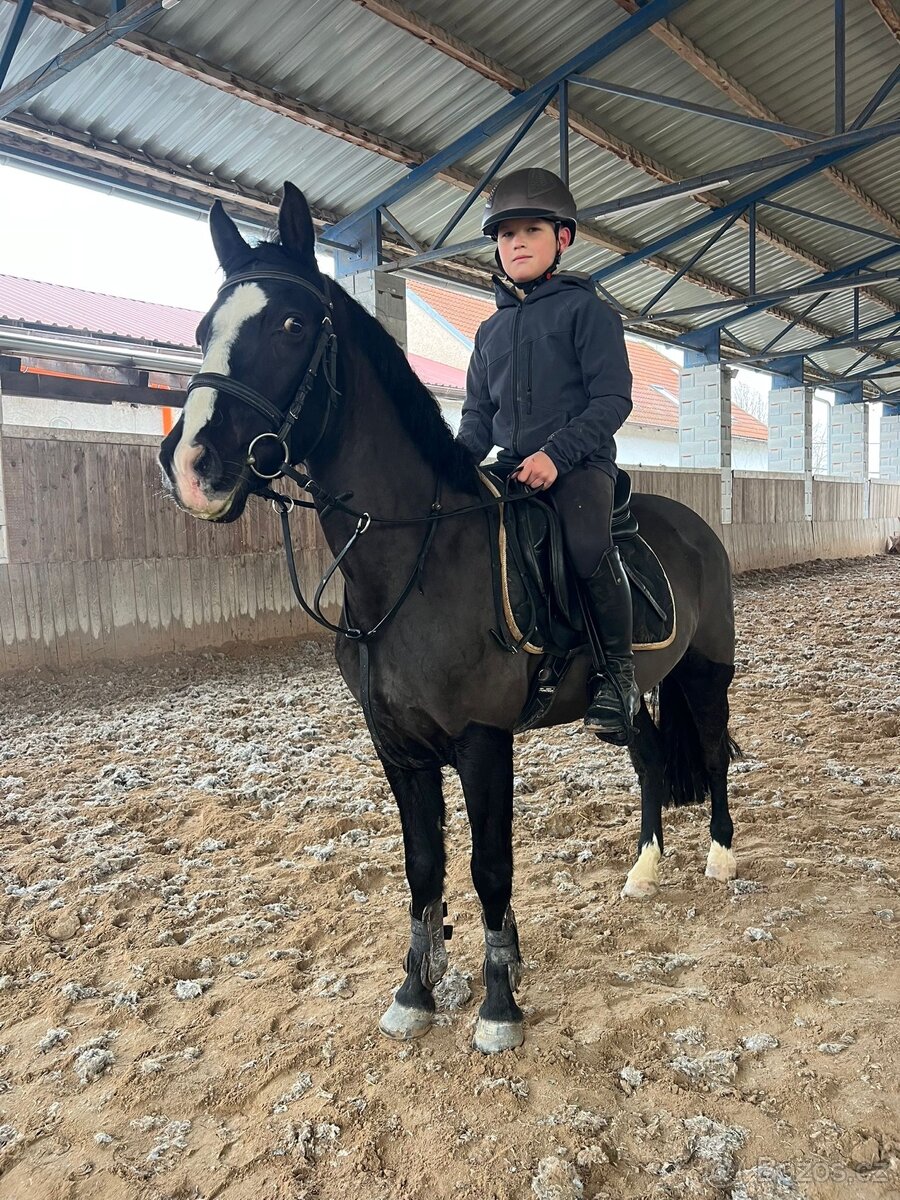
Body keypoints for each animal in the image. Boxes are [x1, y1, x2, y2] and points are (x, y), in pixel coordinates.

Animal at [158, 182, 740, 1054]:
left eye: (291, 325)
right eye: (203, 331)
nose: (192, 466)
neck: (416, 561)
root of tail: (696, 526)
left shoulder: (481, 739)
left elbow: (488, 868)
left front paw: (499, 1004)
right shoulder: (398, 747)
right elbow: (423, 866)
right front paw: (415, 991)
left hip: (706, 672)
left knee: (713, 750)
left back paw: (722, 859)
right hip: (635, 690)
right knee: (645, 759)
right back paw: (643, 870)